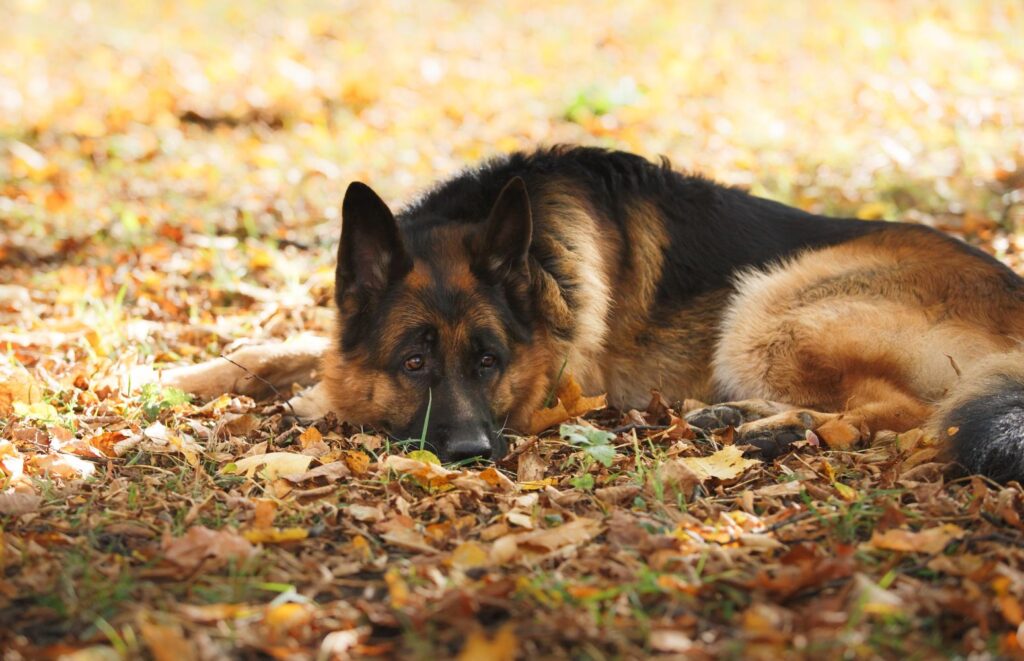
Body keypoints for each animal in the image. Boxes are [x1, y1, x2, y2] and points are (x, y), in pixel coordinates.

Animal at [323, 146, 1024, 480]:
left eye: (488, 362)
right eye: (414, 363)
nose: (471, 452)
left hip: (770, 303)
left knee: (909, 413)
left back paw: (782, 429)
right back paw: (741, 417)